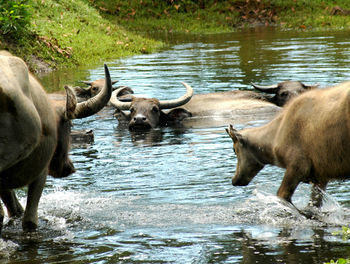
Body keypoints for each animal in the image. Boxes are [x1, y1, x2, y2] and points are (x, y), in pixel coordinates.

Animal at [227, 81, 350, 217]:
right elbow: (314, 204)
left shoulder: (297, 166)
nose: (234, 180)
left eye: (234, 149)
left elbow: (283, 196)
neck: (274, 142)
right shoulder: (321, 177)